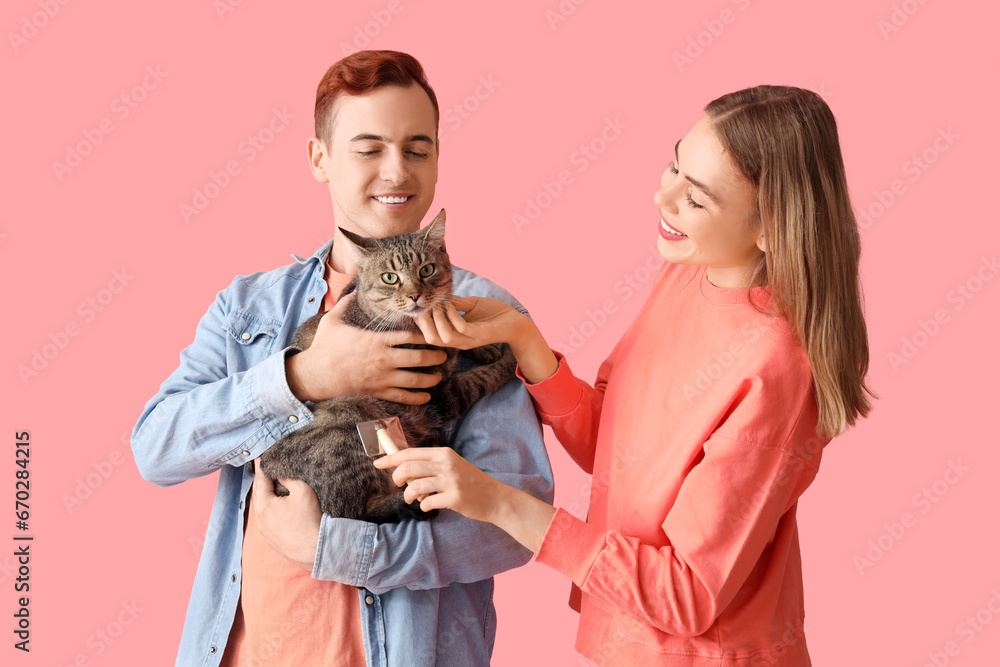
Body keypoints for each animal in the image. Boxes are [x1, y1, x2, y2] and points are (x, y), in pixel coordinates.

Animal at [254, 211, 516, 524]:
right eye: (390, 278)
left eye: (427, 270)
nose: (415, 295)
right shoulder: (437, 394)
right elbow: (481, 378)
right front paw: (511, 357)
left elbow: (454, 333)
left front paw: (482, 345)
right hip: (349, 418)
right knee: (354, 513)